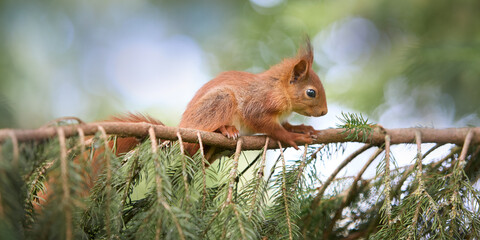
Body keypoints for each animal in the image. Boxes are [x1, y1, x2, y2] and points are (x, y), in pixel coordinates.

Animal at [178, 39, 328, 159]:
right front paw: (293, 137)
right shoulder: (259, 103)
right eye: (311, 92)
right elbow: (268, 125)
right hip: (220, 100)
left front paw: (302, 128)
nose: (324, 112)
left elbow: (286, 125)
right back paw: (225, 129)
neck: (279, 89)